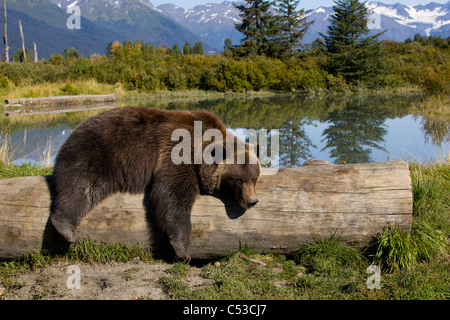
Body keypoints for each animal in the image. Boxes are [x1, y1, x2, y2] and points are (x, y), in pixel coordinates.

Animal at [49, 106, 260, 262]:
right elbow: (171, 195)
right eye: (238, 179)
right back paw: (66, 228)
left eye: (254, 178)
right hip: (97, 153)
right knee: (81, 186)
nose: (252, 201)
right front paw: (183, 249)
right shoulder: (177, 153)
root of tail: (73, 130)